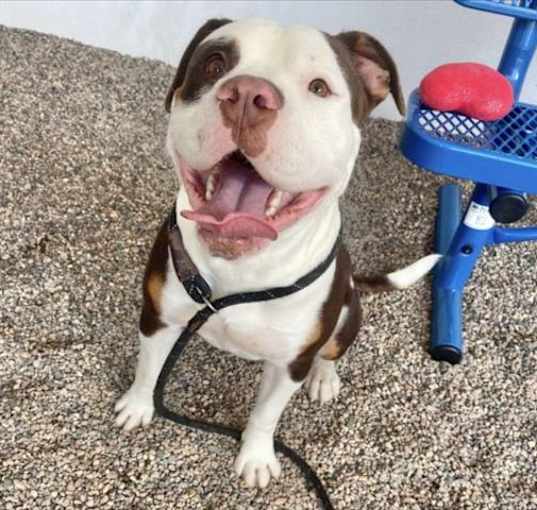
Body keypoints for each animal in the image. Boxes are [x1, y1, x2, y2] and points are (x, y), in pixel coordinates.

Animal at [114, 18, 440, 490]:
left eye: (319, 87)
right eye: (215, 64)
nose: (248, 94)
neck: (240, 270)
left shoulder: (290, 363)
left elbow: (266, 414)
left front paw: (255, 457)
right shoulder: (159, 315)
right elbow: (148, 369)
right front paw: (139, 406)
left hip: (347, 313)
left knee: (332, 349)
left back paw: (325, 378)